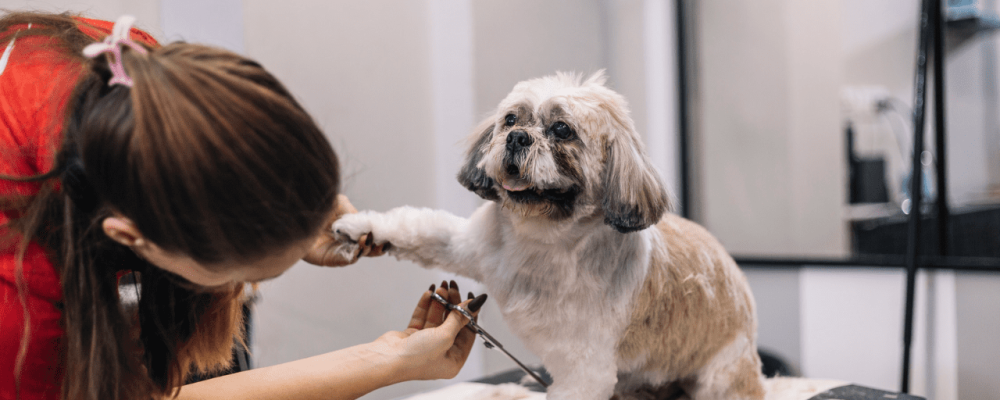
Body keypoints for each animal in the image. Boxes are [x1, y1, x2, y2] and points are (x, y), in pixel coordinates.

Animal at [334, 72, 764, 400]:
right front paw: (359, 228)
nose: (517, 138)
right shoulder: (471, 246)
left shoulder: (584, 371)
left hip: (721, 374)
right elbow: (420, 228)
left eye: (562, 130)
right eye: (510, 120)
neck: (543, 239)